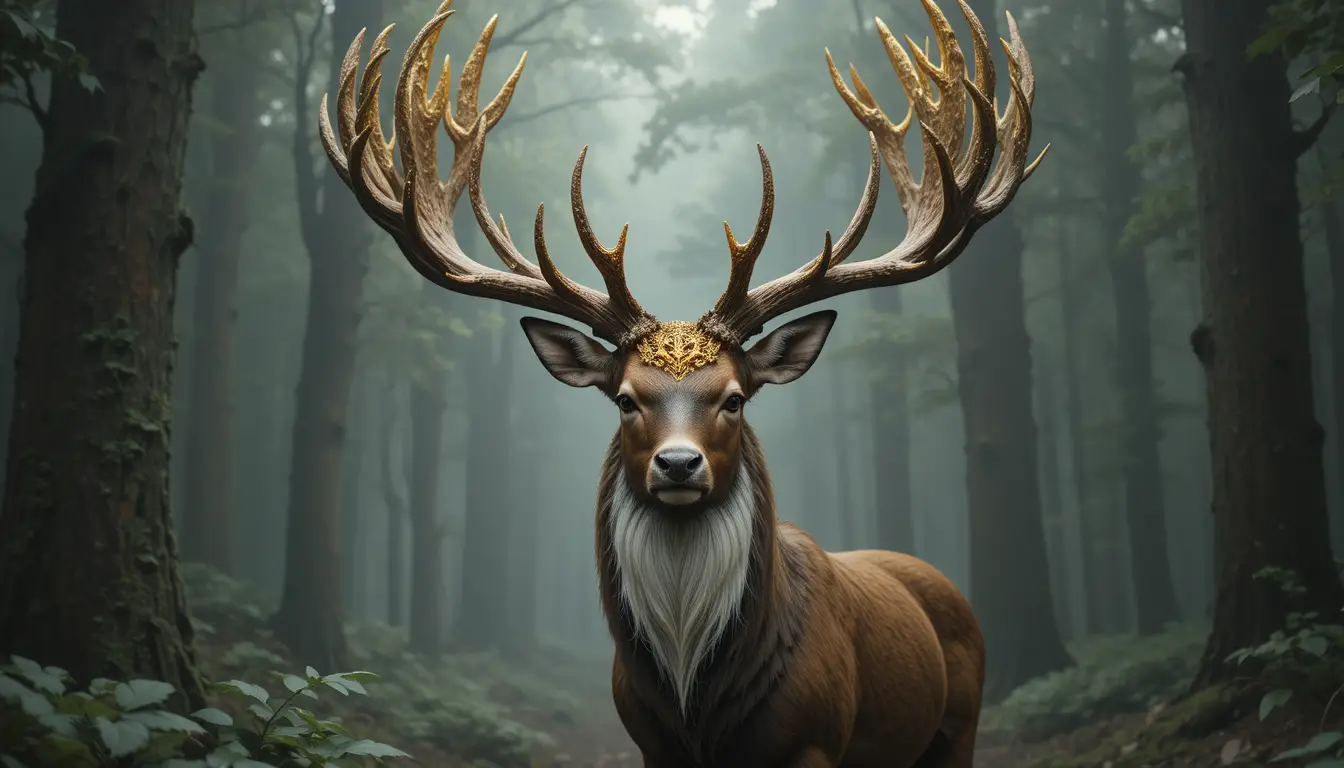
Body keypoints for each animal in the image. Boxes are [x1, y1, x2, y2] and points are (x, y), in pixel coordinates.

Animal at [319, 0, 1043, 765]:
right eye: (625, 400)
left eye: (734, 398)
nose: (677, 463)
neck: (699, 700)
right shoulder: (649, 742)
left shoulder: (815, 737)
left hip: (958, 723)